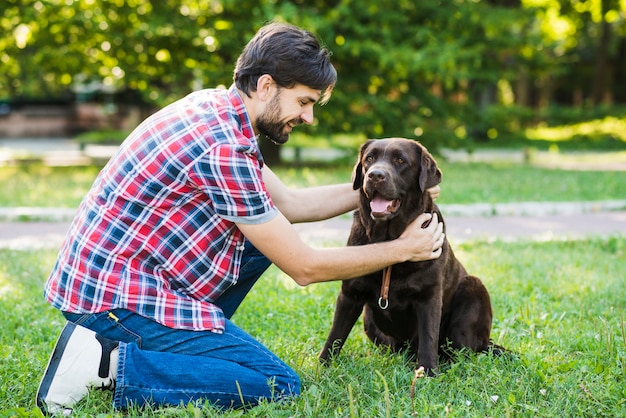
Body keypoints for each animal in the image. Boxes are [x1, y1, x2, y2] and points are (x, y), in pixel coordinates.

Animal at [320, 137, 500, 376]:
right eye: (369, 159)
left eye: (400, 161)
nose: (375, 175)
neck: (389, 239)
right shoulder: (350, 294)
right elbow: (335, 336)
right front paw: (321, 368)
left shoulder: (429, 296)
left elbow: (428, 338)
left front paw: (429, 373)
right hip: (370, 320)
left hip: (474, 289)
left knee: (462, 351)